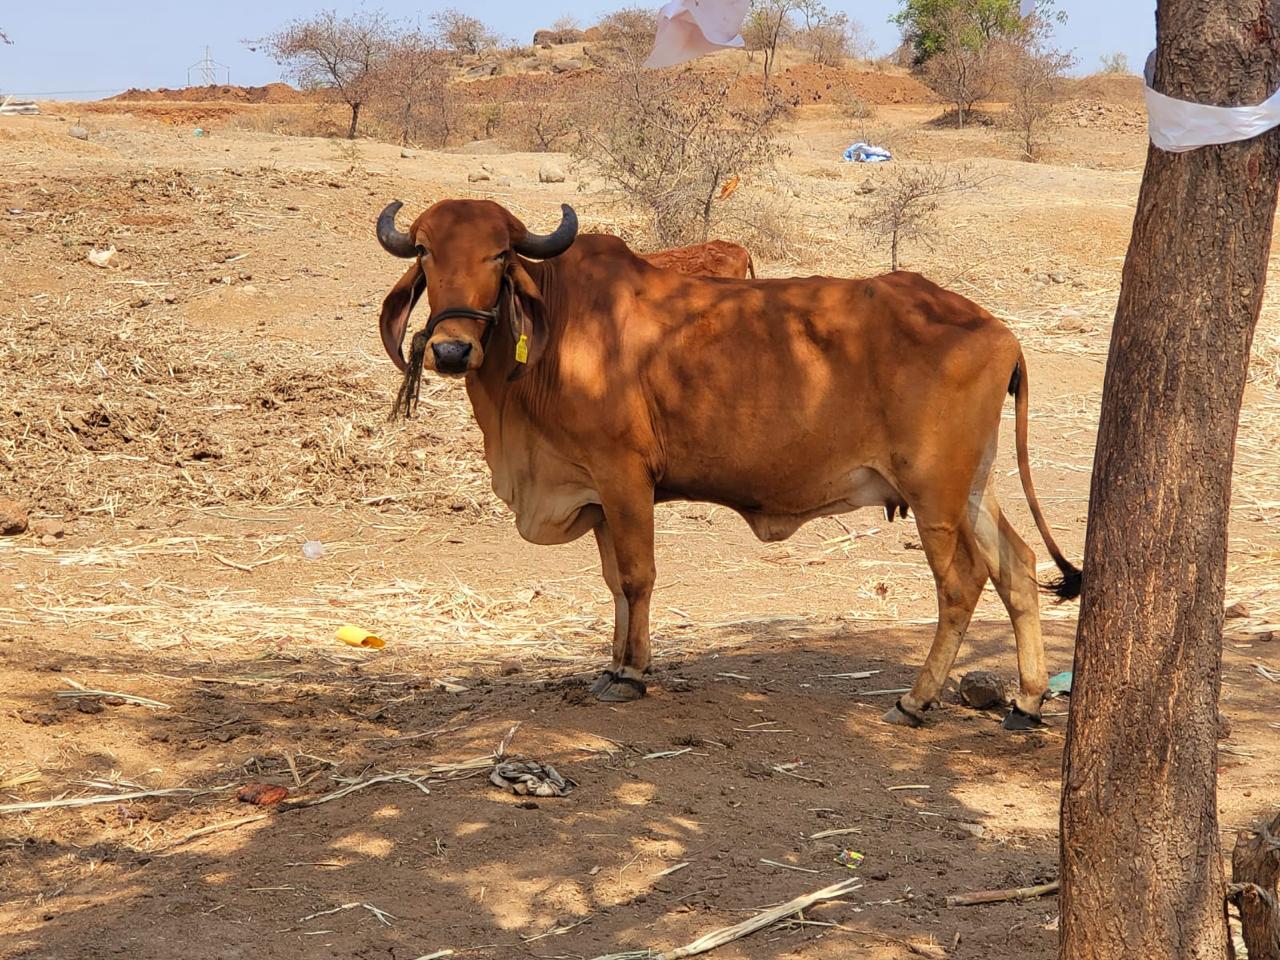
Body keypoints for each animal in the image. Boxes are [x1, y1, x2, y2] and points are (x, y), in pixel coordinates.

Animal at [374, 198, 1081, 731]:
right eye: (427, 252)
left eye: (499, 255)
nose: (452, 348)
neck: (558, 332)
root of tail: (998, 331)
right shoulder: (597, 494)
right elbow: (614, 583)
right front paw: (616, 662)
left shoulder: (624, 477)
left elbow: (637, 577)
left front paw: (632, 674)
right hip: (972, 490)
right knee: (1017, 568)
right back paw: (1025, 701)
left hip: (934, 496)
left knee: (961, 584)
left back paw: (917, 699)